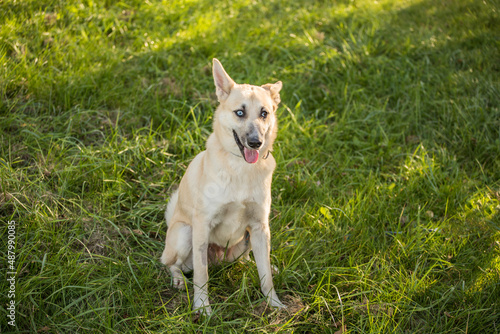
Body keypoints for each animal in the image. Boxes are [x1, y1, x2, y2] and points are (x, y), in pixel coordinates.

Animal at [161, 58, 286, 314]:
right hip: (184, 233)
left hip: (248, 239)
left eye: (264, 113)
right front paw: (201, 308)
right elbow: (201, 276)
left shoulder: (260, 226)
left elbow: (265, 276)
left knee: (252, 260)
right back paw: (177, 279)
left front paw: (274, 303)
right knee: (171, 264)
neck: (240, 168)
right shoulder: (202, 225)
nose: (256, 142)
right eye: (240, 112)